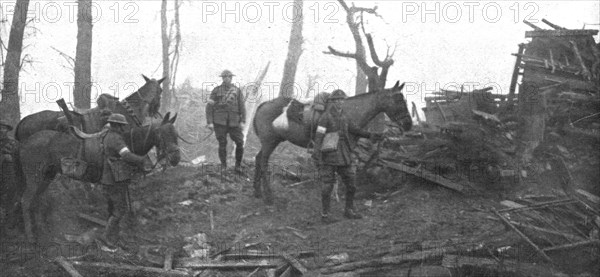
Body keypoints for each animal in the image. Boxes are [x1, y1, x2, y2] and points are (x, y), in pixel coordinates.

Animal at [17, 112, 179, 239]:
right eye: (161, 133)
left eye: (176, 134)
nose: (176, 158)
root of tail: (26, 142)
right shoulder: (116, 185)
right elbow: (117, 209)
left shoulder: (119, 185)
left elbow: (114, 210)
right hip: (34, 178)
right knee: (26, 200)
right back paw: (30, 236)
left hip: (47, 177)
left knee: (38, 200)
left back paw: (43, 230)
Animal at [252, 81, 412, 204]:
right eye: (399, 100)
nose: (408, 124)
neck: (347, 111)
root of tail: (263, 104)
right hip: (270, 142)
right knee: (263, 162)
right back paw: (268, 196)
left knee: (258, 159)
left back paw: (257, 192)